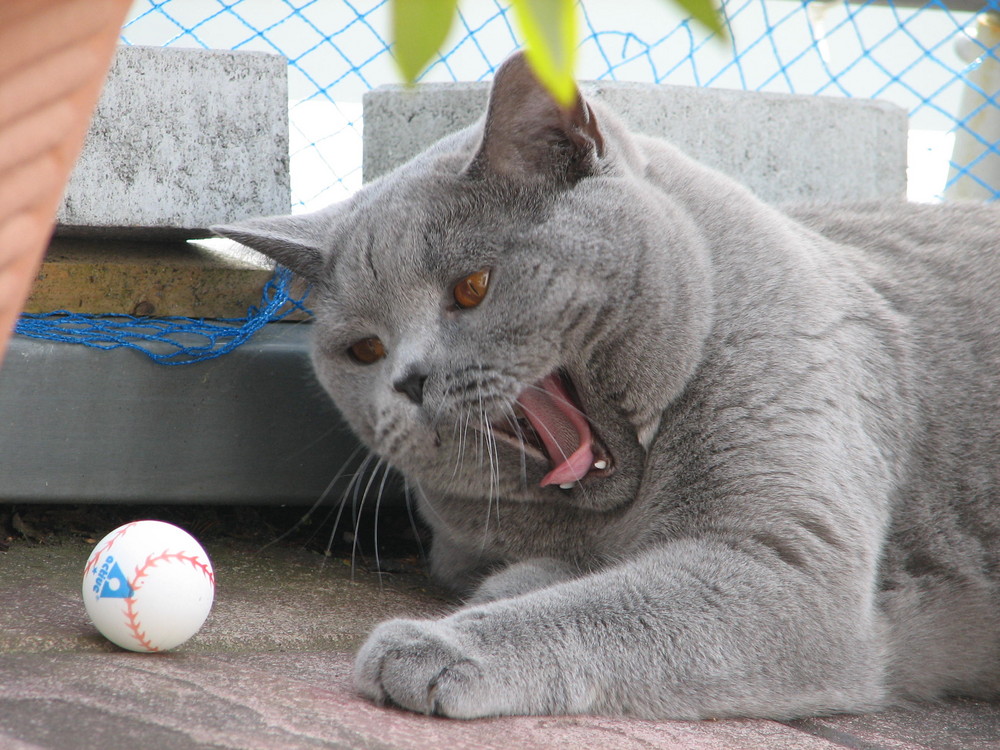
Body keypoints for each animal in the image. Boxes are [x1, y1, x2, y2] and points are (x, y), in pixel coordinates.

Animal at [213, 53, 1000, 724]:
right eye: (366, 350)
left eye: (472, 288)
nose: (408, 378)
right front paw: (517, 579)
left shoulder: (793, 567)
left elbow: (617, 604)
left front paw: (439, 642)